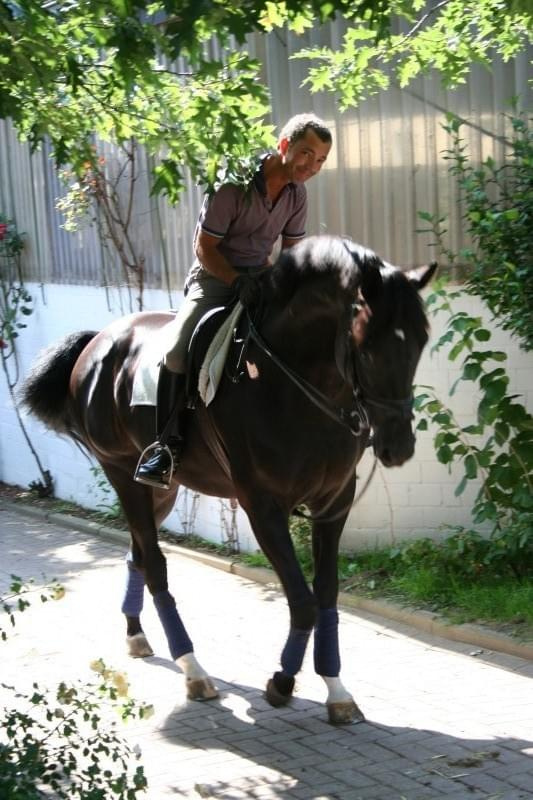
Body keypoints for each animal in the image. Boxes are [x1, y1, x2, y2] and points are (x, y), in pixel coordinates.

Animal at [22, 236, 434, 724]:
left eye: (421, 342)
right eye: (367, 349)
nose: (398, 446)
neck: (294, 382)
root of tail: (98, 341)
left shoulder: (333, 504)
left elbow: (326, 595)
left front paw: (336, 691)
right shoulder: (263, 508)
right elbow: (303, 602)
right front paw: (282, 683)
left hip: (162, 490)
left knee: (138, 553)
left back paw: (137, 636)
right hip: (122, 473)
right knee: (155, 565)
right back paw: (193, 671)